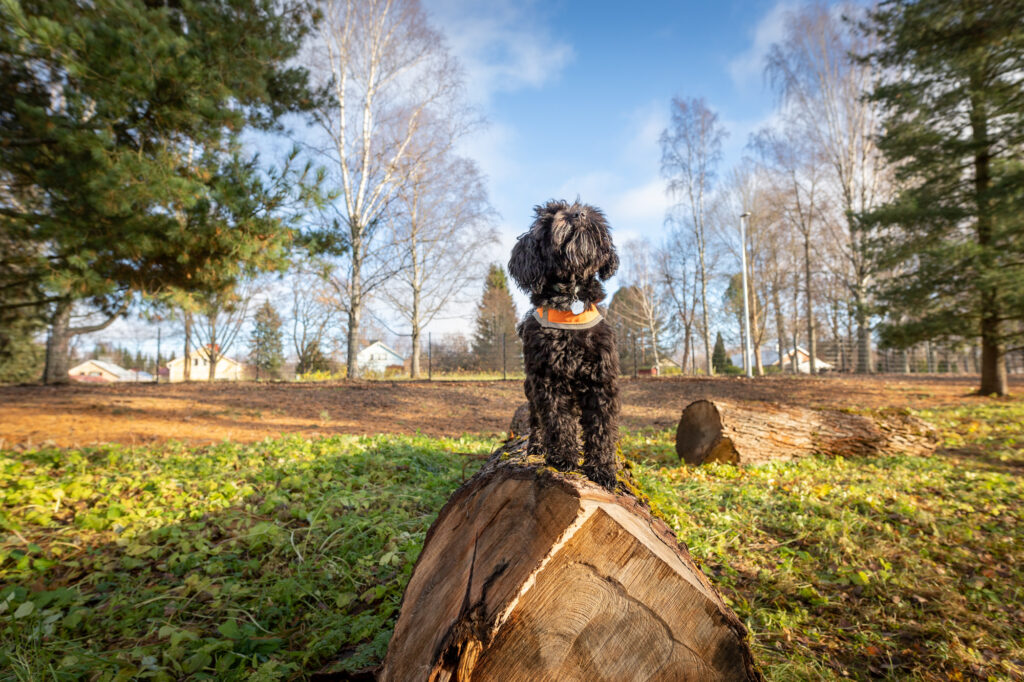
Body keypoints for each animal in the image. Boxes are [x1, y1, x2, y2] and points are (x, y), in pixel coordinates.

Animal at [507, 197, 618, 489]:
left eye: (582, 208)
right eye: (552, 215)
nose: (579, 215)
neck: (571, 301)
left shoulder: (601, 380)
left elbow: (602, 428)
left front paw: (602, 469)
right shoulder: (549, 379)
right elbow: (558, 422)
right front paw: (563, 458)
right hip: (531, 388)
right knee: (536, 420)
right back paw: (537, 446)